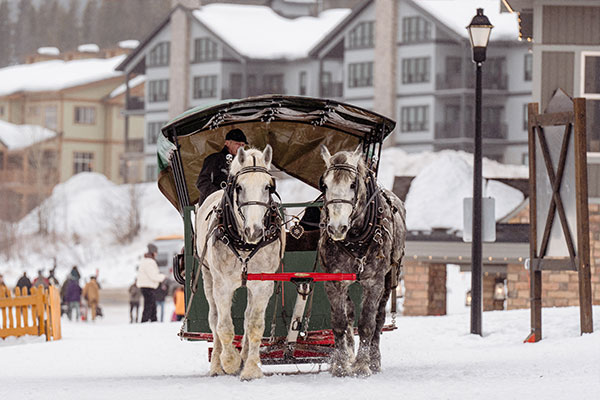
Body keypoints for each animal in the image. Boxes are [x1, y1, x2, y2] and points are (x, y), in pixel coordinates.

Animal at [195, 145, 284, 380]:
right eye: (239, 187)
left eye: (268, 187)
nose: (254, 231)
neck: (245, 244)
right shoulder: (223, 284)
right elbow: (224, 326)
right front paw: (230, 361)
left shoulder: (262, 285)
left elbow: (254, 325)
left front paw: (251, 368)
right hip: (208, 277)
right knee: (214, 319)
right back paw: (217, 365)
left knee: (246, 317)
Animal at [316, 145, 406, 376]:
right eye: (324, 184)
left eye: (353, 184)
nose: (337, 228)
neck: (356, 239)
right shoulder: (333, 281)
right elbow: (340, 322)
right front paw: (341, 365)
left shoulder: (374, 282)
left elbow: (367, 323)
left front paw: (363, 364)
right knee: (349, 315)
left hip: (389, 279)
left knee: (379, 319)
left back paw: (374, 360)